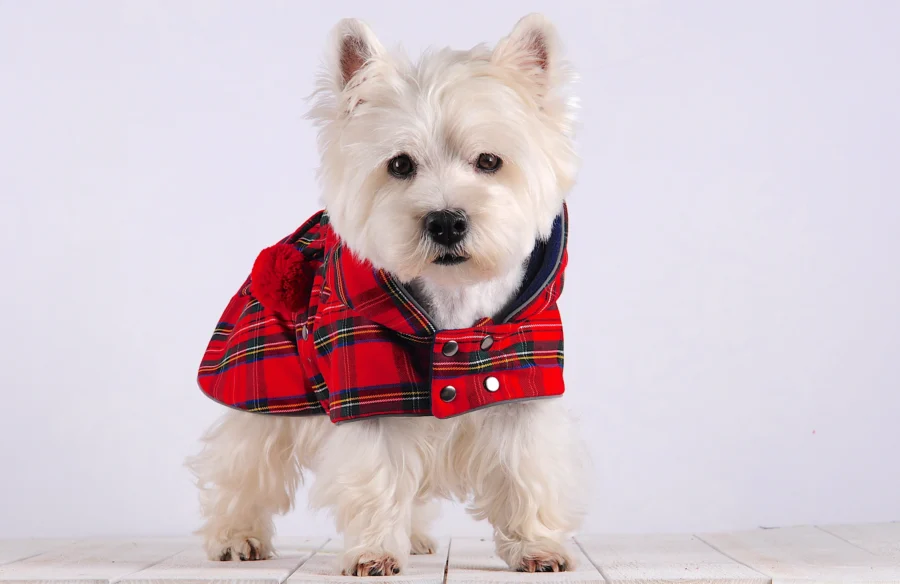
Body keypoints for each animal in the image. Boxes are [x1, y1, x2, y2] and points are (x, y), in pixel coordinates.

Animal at [188, 13, 584, 576]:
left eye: (489, 160)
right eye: (399, 165)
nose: (446, 221)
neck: (450, 307)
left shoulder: (520, 382)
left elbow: (524, 471)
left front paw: (536, 547)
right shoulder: (368, 390)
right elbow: (377, 476)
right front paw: (374, 553)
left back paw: (415, 536)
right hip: (263, 383)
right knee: (244, 461)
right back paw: (235, 537)